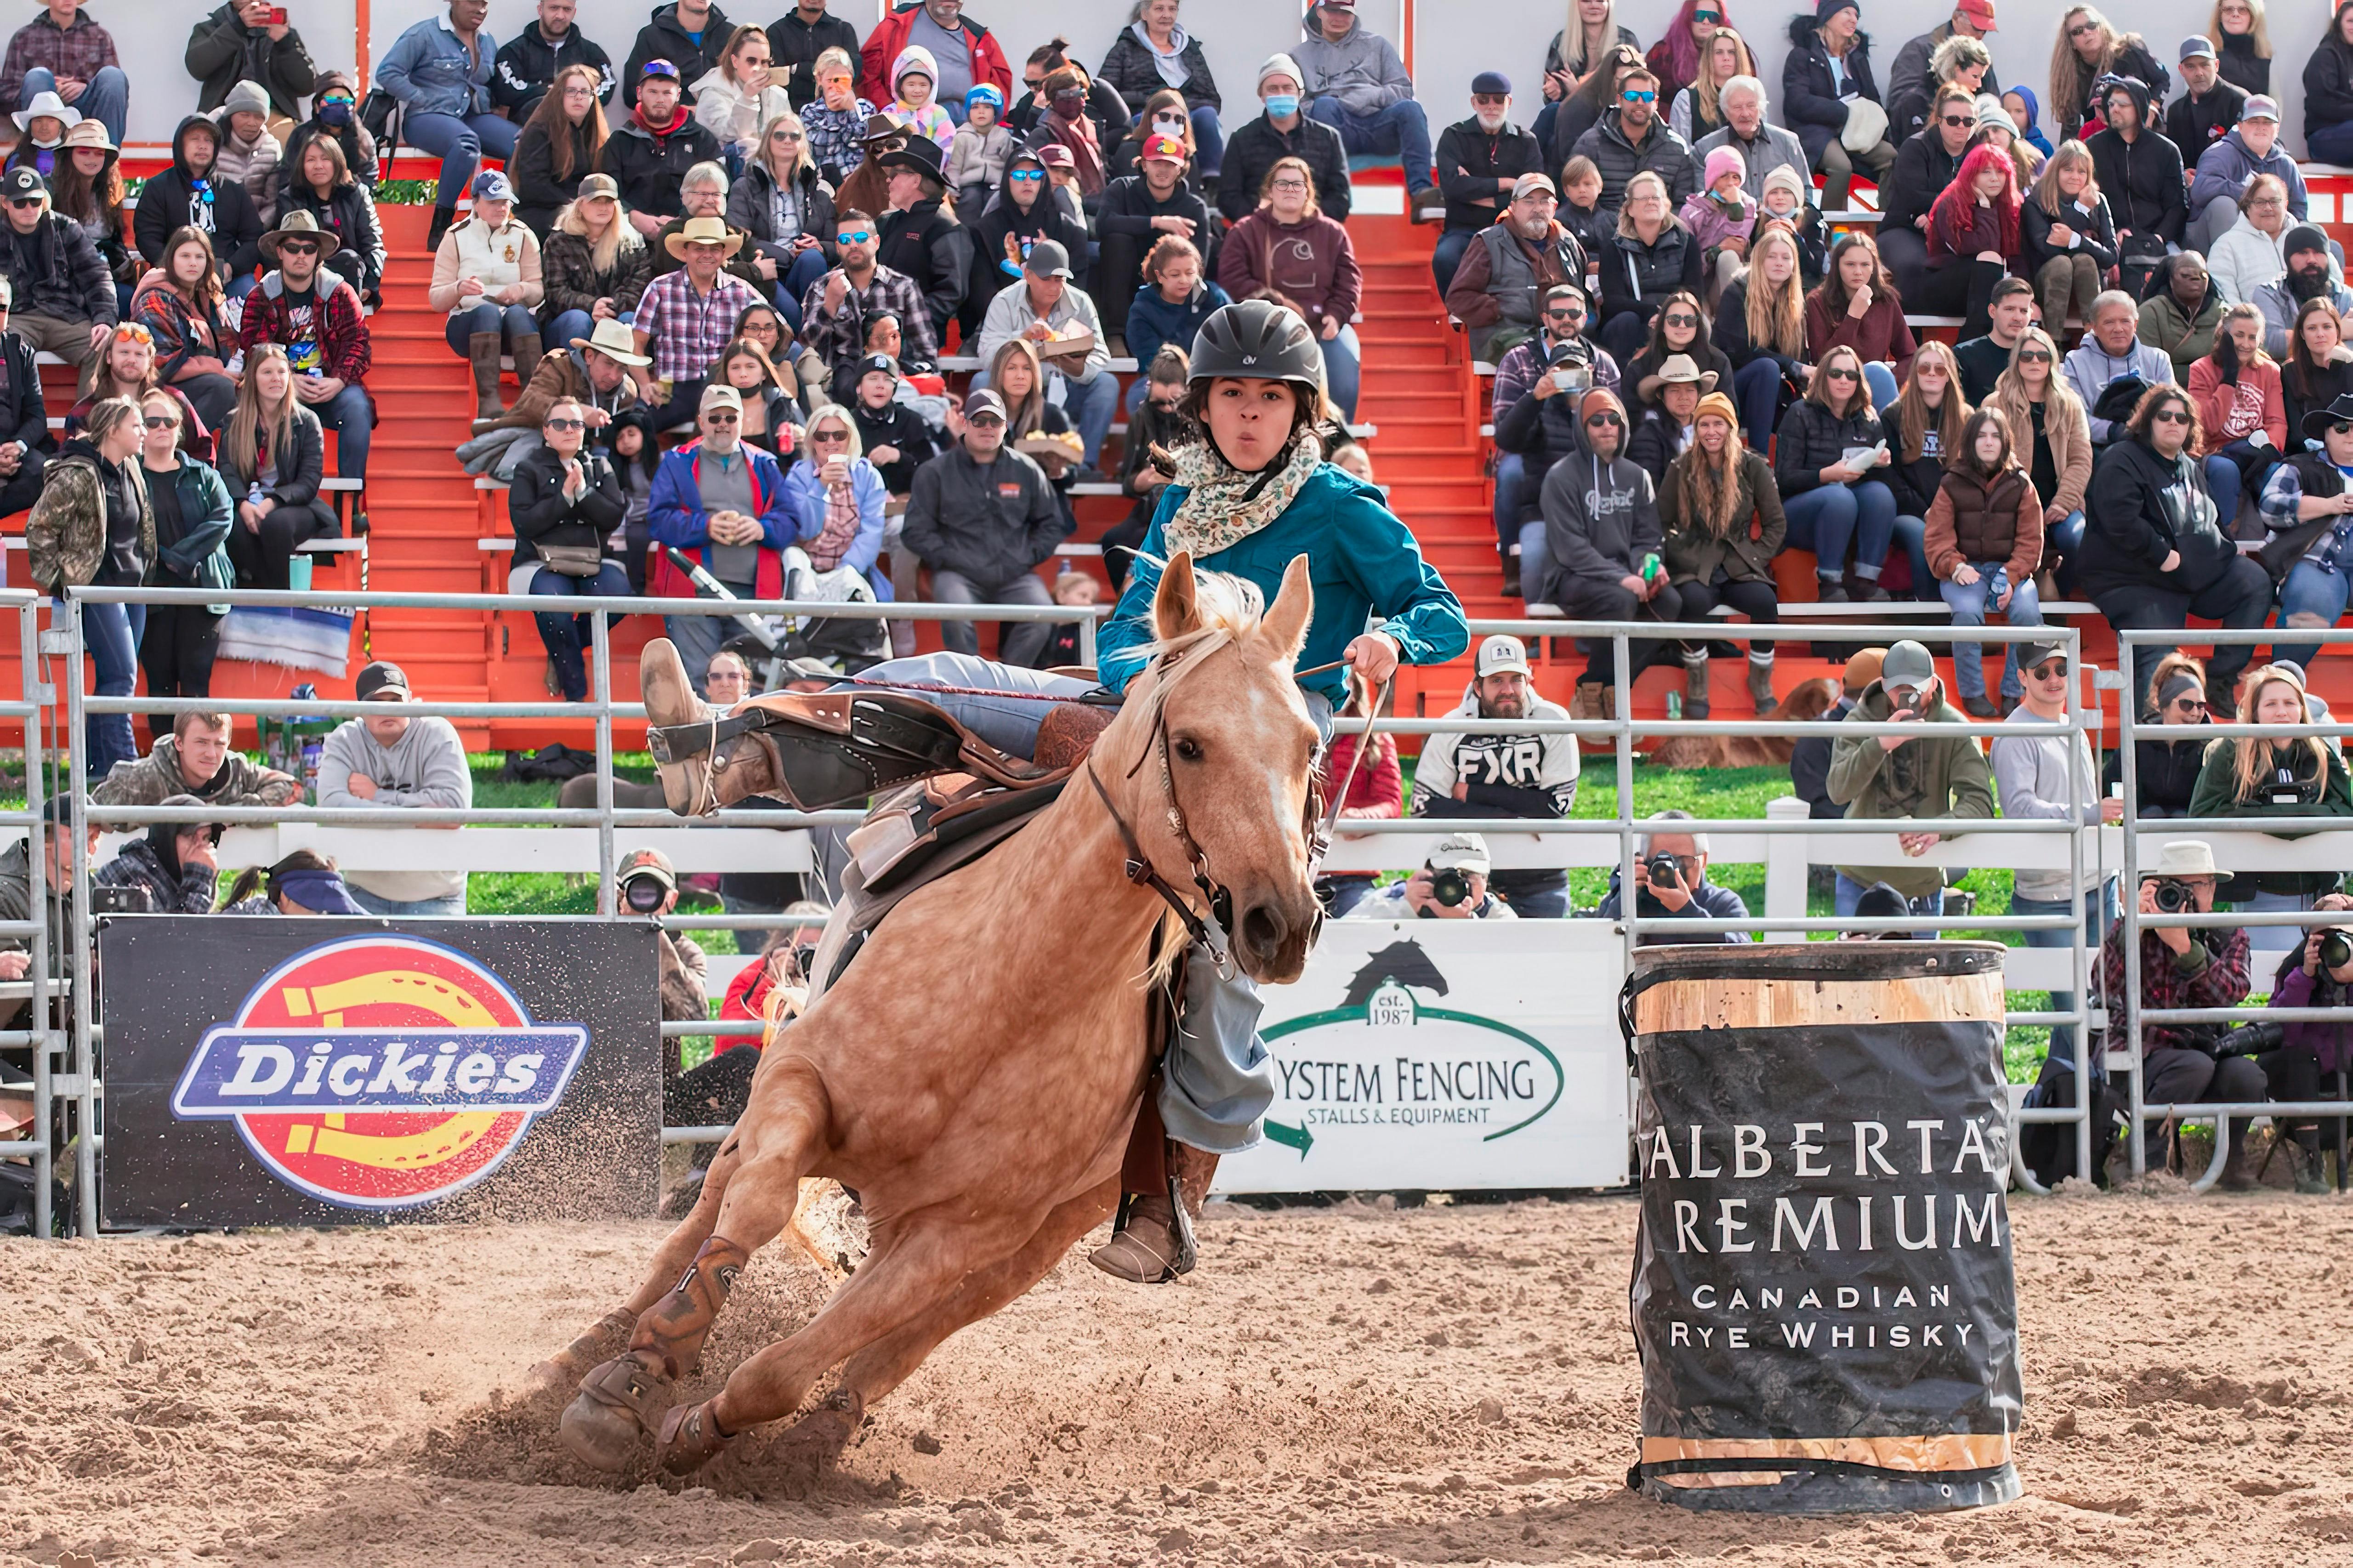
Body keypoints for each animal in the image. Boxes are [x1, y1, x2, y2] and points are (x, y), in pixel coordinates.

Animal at [539, 553, 1336, 1478]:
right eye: (1190, 744)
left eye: (1310, 747)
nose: (1282, 923)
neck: (1011, 990)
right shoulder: (798, 1084)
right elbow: (758, 1206)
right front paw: (630, 1381)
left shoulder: (965, 1232)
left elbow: (802, 1361)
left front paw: (703, 1425)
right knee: (704, 1216)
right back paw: (583, 1359)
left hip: (1042, 1235)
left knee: (914, 1333)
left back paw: (821, 1437)